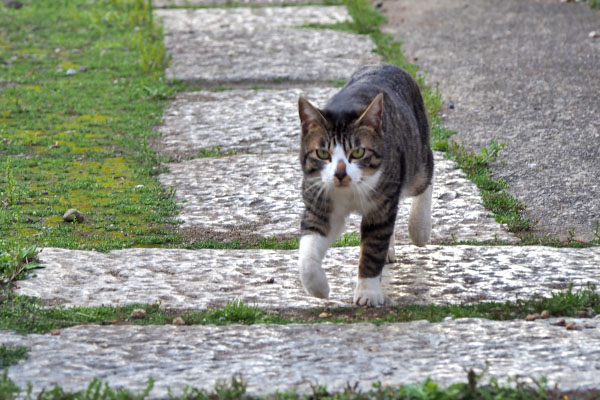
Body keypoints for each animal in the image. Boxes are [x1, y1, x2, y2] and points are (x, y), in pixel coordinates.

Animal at [298, 63, 434, 306]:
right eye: (322, 153)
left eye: (358, 152)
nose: (340, 173)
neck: (349, 191)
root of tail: (385, 64)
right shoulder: (320, 200)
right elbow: (308, 250)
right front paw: (319, 288)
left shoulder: (380, 203)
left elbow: (372, 248)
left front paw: (368, 292)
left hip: (415, 158)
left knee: (426, 173)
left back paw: (420, 226)